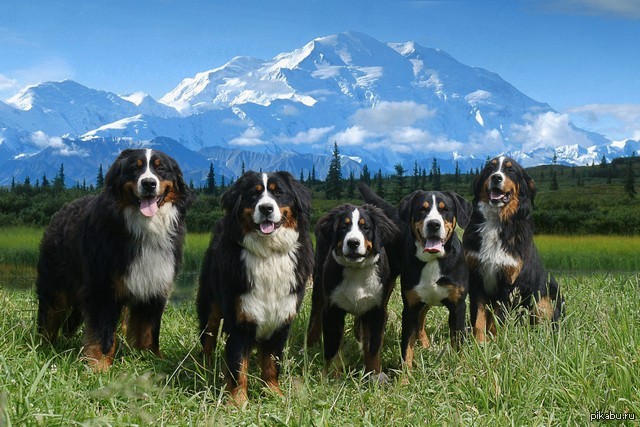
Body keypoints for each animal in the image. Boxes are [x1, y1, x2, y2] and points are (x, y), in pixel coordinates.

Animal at [35, 149, 192, 372]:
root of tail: (63, 209)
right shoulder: (102, 288)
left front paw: (150, 357)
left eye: (160, 168)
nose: (149, 183)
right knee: (49, 314)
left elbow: (148, 329)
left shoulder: (154, 284)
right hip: (55, 283)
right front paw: (99, 365)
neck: (145, 227)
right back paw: (44, 345)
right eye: (135, 168)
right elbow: (102, 331)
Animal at [196, 171, 314, 404]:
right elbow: (238, 366)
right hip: (211, 306)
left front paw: (274, 393)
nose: (266, 208)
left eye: (278, 192)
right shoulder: (241, 319)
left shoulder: (281, 319)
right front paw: (238, 401)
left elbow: (271, 363)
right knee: (208, 338)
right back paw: (205, 368)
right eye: (253, 195)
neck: (268, 255)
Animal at [306, 203, 400, 382]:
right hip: (319, 284)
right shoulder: (332, 309)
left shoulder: (377, 310)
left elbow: (373, 346)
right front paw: (331, 374)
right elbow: (332, 345)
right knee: (315, 317)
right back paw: (308, 347)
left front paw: (375, 374)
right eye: (344, 227)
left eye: (365, 227)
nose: (353, 243)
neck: (356, 270)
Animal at [360, 183, 476, 368]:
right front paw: (404, 375)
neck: (432, 259)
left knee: (421, 321)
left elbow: (457, 342)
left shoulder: (458, 306)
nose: (434, 224)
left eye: (445, 209)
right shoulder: (410, 307)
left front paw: (459, 368)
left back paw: (426, 345)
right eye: (422, 209)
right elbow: (407, 346)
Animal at [462, 155, 564, 342]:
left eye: (510, 170)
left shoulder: (509, 283)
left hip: (544, 297)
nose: (496, 177)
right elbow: (479, 319)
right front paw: (479, 344)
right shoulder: (476, 278)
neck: (497, 221)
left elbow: (498, 320)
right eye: (490, 168)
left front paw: (495, 343)